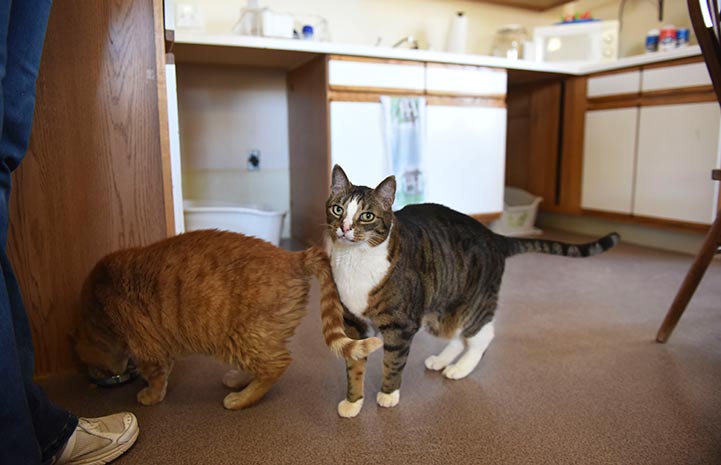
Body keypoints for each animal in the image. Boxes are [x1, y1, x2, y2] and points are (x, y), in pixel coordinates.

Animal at [71, 230, 382, 408]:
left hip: (240, 336)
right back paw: (239, 382)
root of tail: (291, 256)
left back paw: (240, 399)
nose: (95, 375)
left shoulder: (148, 348)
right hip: (249, 338)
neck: (96, 310)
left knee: (276, 365)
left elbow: (157, 377)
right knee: (264, 364)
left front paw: (148, 396)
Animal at [330, 166, 616, 416]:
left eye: (367, 215)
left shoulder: (401, 325)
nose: (345, 228)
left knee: (483, 335)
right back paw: (442, 361)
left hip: (474, 304)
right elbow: (354, 366)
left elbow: (393, 362)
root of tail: (494, 236)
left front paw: (388, 394)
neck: (353, 262)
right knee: (457, 335)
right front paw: (353, 402)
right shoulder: (354, 324)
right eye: (338, 209)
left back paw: (460, 368)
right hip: (442, 307)